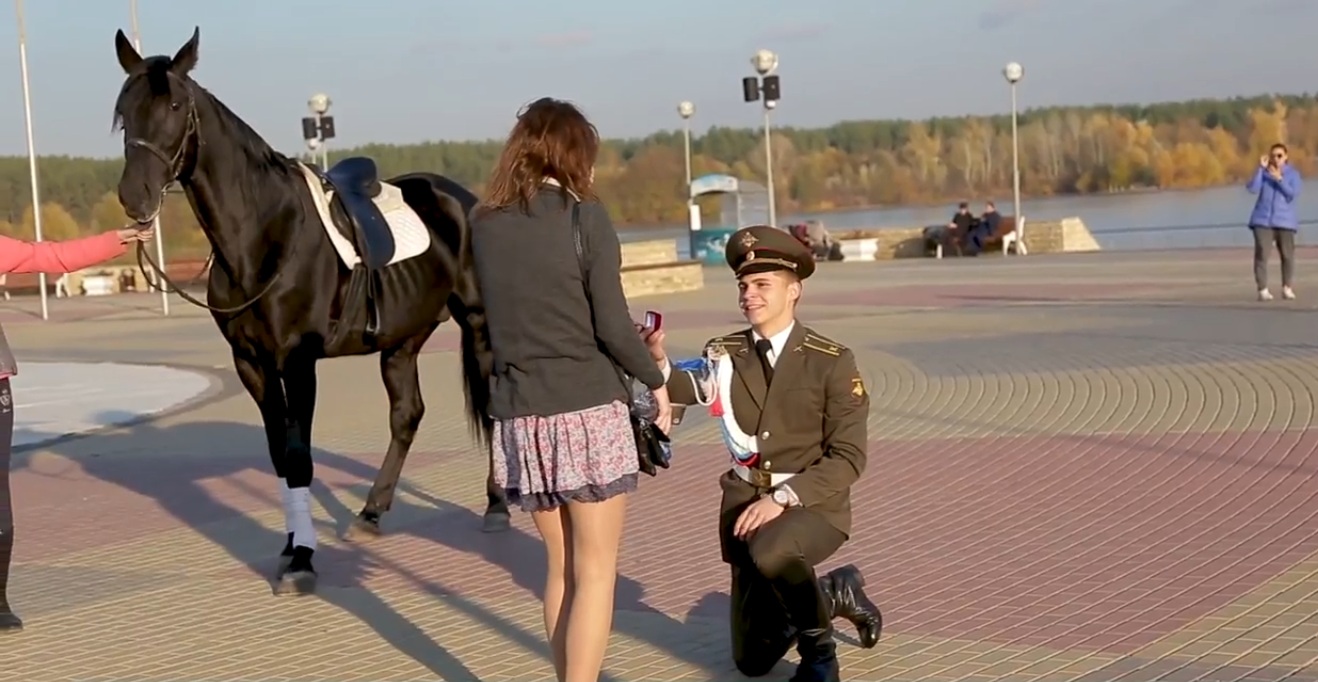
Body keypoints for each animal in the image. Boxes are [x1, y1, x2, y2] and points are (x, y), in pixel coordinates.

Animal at [112, 26, 508, 593]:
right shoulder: (251, 363)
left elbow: (299, 458)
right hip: (402, 338)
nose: (135, 196)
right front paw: (290, 545)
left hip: (477, 323)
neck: (263, 236)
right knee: (406, 415)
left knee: (494, 407)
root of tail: (463, 199)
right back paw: (371, 512)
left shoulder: (298, 361)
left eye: (174, 104)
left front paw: (302, 559)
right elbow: (280, 455)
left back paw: (497, 505)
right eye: (124, 111)